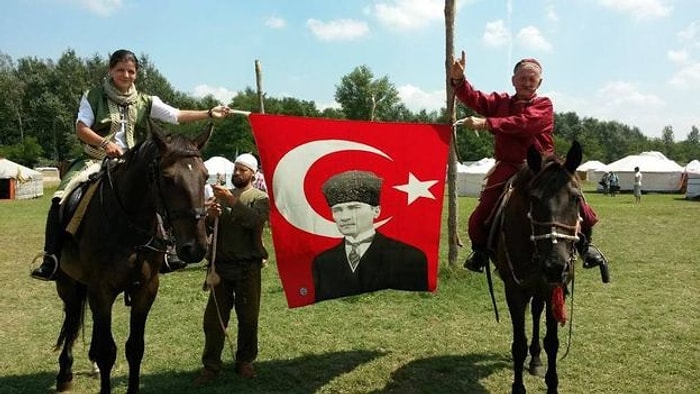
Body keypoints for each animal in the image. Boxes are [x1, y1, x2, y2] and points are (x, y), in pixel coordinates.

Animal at [52, 121, 211, 392]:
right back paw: (65, 373)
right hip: (68, 283)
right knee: (72, 320)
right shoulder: (101, 289)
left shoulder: (145, 289)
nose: (196, 247)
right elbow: (107, 351)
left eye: (206, 176)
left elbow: (135, 348)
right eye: (167, 178)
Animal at [490, 142, 584, 394]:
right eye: (533, 198)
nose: (555, 266)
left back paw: (535, 359)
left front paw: (551, 384)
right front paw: (518, 388)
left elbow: (552, 343)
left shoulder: (554, 288)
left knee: (536, 311)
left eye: (576, 198)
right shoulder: (514, 291)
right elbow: (518, 344)